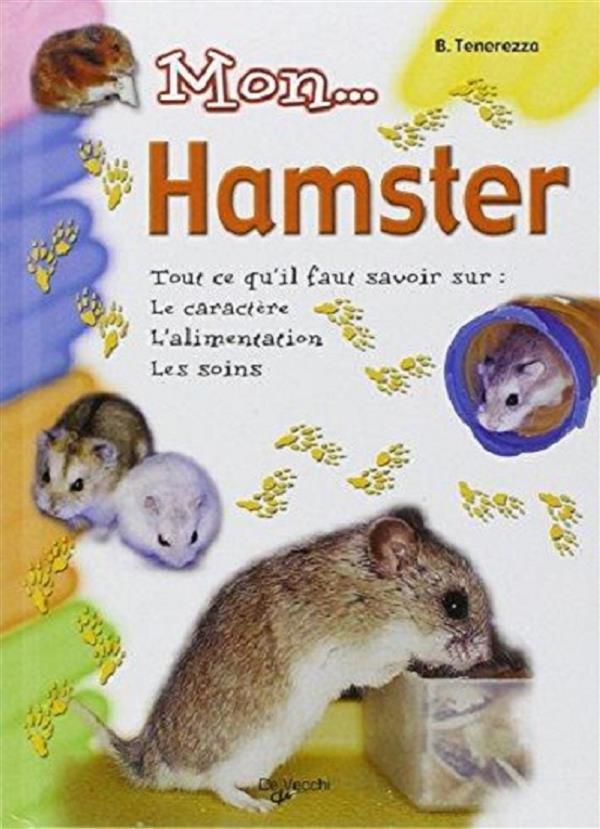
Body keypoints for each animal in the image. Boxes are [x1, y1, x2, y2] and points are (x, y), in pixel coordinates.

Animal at [76, 510, 493, 813]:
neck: (377, 597)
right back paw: (260, 806)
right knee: (218, 784)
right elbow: (387, 668)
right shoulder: (355, 654)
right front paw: (411, 667)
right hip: (241, 751)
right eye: (455, 604)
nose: (487, 656)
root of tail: (147, 764)